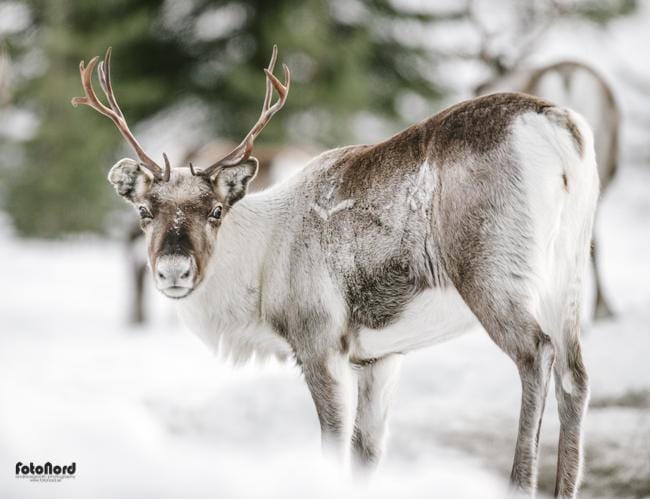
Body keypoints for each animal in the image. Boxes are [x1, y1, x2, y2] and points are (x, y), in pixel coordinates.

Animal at [72, 46, 599, 498]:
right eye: (144, 210)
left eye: (216, 210)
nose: (174, 271)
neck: (262, 260)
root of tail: (557, 125)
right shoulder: (380, 356)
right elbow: (368, 452)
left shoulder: (319, 342)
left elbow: (333, 447)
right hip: (568, 271)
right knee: (575, 376)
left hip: (491, 273)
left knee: (536, 353)